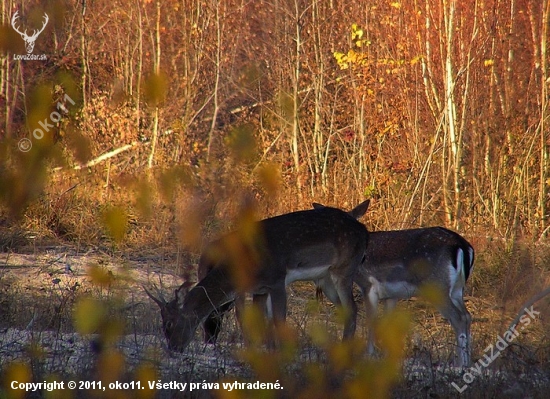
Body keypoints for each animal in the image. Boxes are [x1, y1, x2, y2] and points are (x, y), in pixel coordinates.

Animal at [147, 202, 370, 352]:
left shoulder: (277, 280)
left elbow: (278, 319)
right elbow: (257, 320)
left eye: (170, 324)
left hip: (344, 268)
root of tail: (364, 230)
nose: (174, 348)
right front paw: (262, 350)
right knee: (346, 310)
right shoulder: (259, 290)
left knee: (352, 308)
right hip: (325, 278)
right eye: (163, 325)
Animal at [312, 203, 476, 368]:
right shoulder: (391, 295)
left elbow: (371, 320)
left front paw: (369, 355)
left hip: (437, 286)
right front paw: (386, 357)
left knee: (458, 317)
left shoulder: (369, 285)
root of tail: (463, 246)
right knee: (467, 315)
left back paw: (461, 364)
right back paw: (468, 362)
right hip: (456, 289)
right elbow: (387, 324)